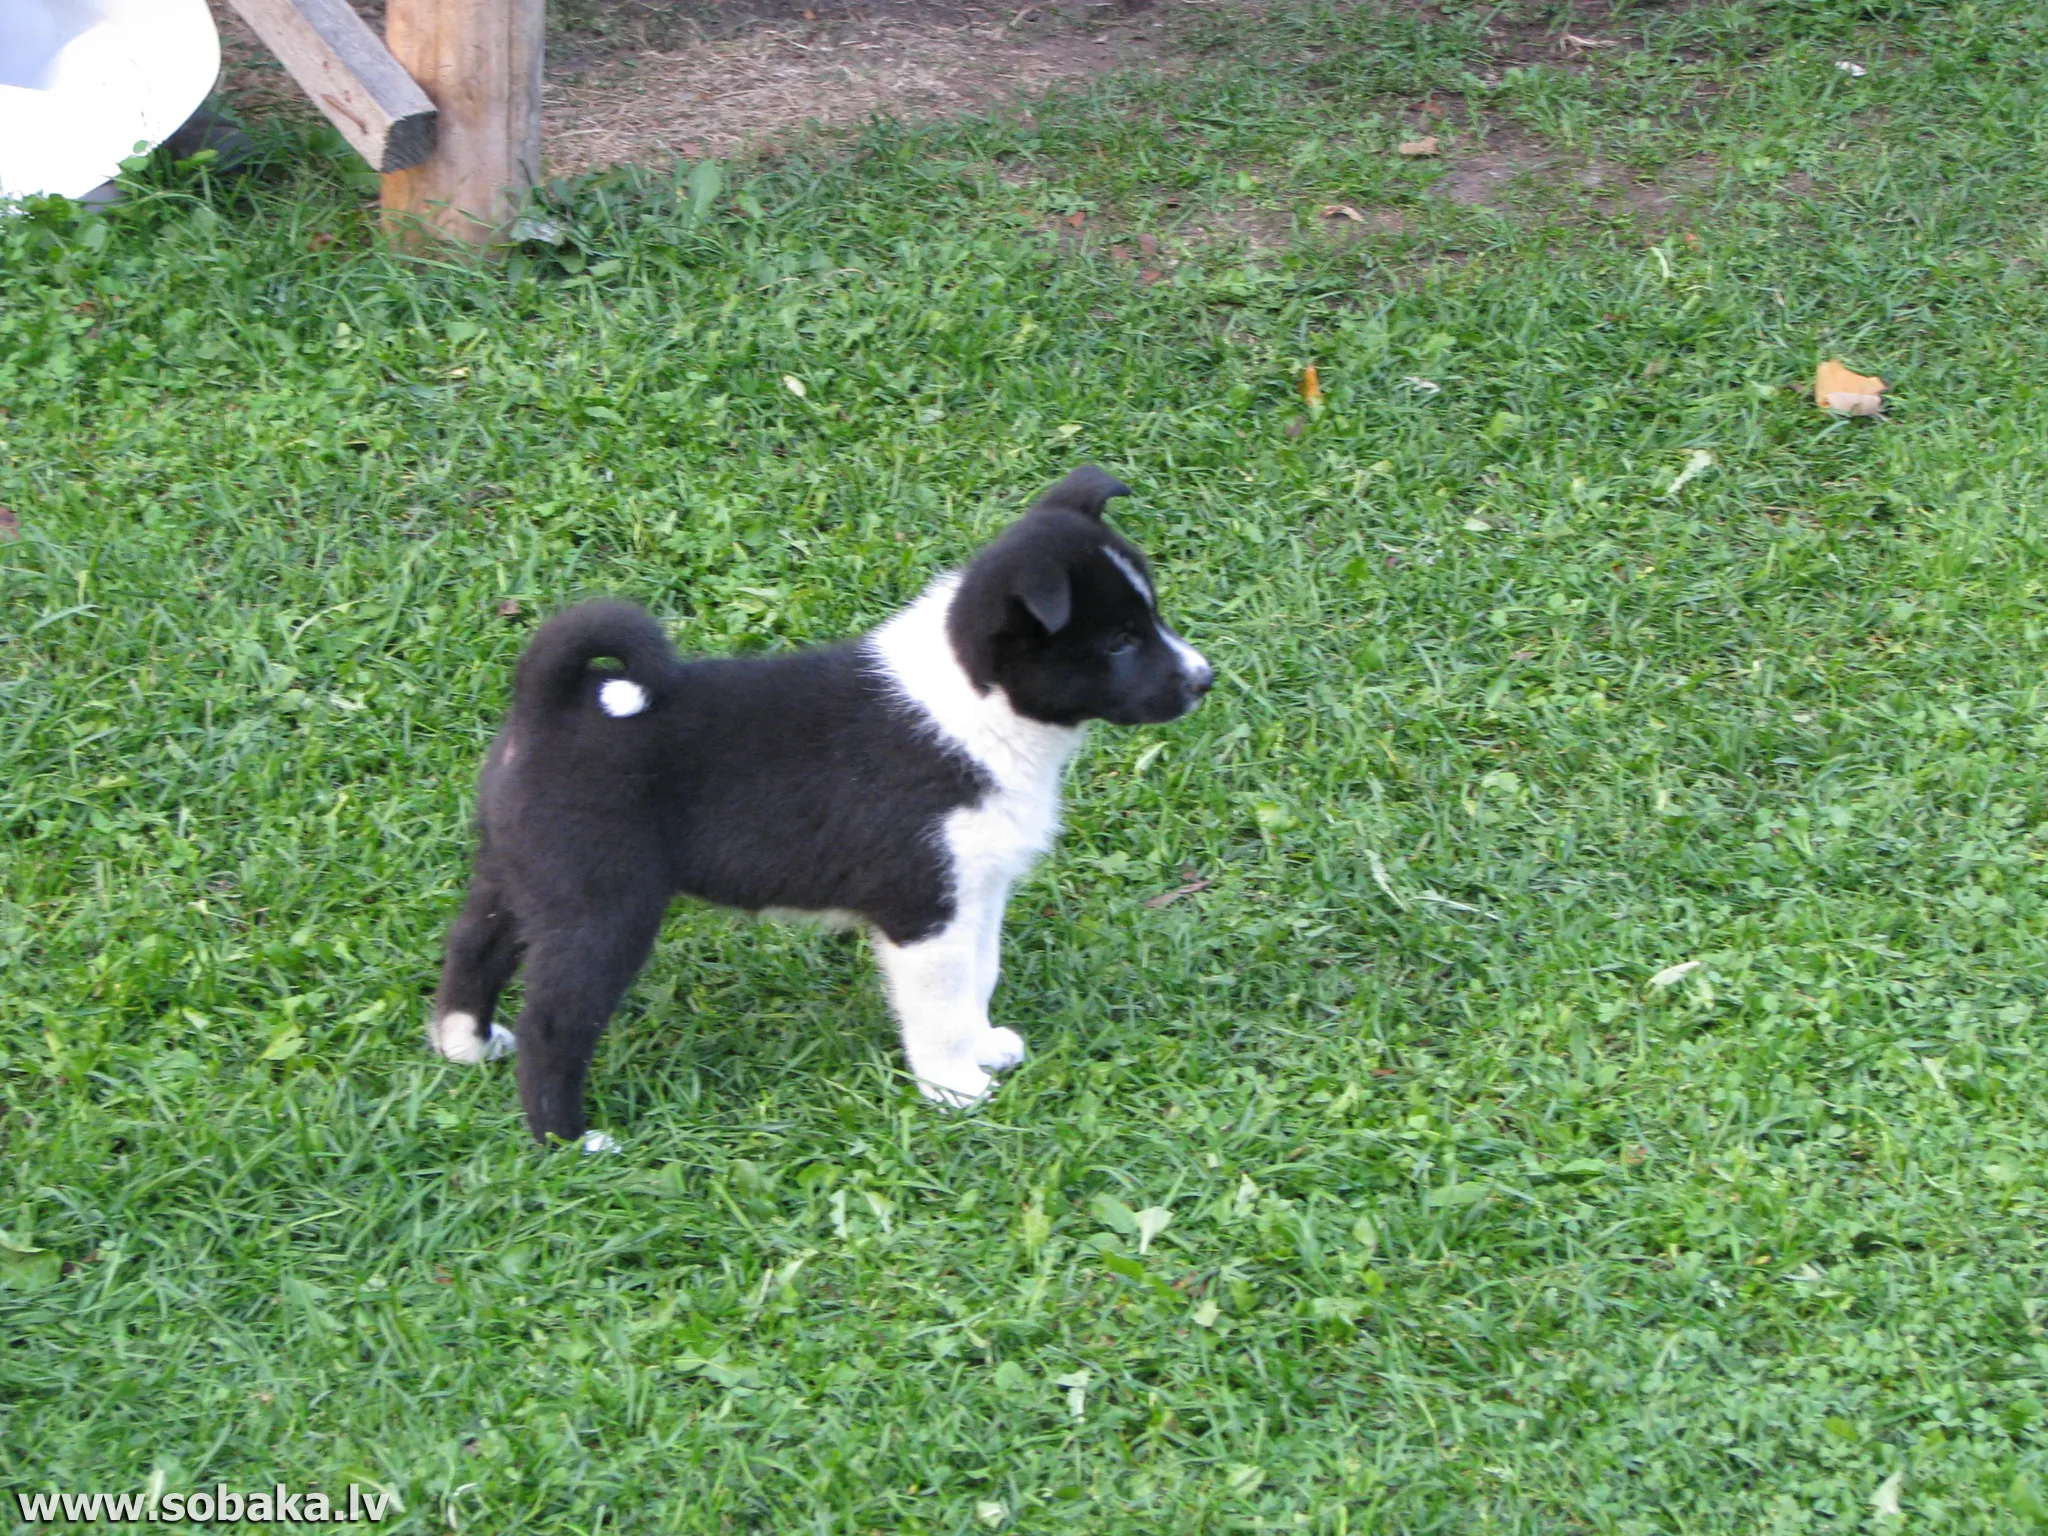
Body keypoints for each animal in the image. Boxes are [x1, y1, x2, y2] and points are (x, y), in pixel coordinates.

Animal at [423, 466, 1204, 1146]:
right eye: (1119, 641)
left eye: (1153, 617)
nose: (1205, 680)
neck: (982, 706)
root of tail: (547, 703)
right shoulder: (924, 910)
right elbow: (940, 1006)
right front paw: (954, 1086)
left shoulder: (977, 892)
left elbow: (979, 977)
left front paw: (984, 1046)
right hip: (603, 911)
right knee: (555, 1023)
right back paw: (569, 1139)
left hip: (519, 874)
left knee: (472, 949)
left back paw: (466, 1044)